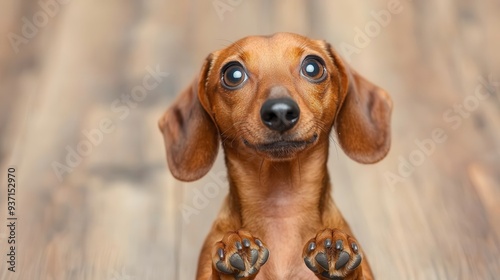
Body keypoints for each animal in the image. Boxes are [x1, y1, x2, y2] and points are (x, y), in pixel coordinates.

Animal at [158, 31, 392, 278]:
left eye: (313, 67)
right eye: (233, 74)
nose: (280, 112)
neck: (281, 211)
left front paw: (334, 248)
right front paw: (235, 249)